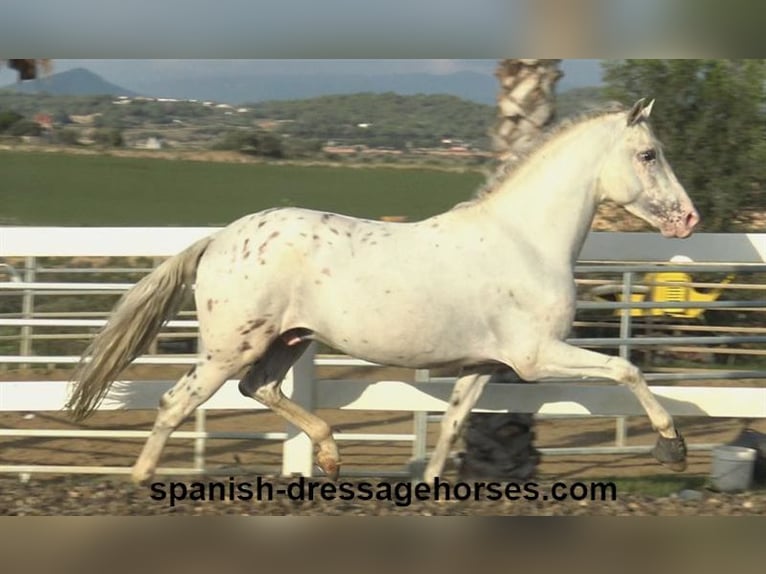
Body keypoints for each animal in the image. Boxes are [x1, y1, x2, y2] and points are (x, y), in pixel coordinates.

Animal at [67, 99, 704, 486]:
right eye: (649, 154)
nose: (689, 219)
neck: (525, 241)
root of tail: (219, 238)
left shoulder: (484, 364)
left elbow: (452, 423)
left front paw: (429, 485)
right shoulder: (535, 357)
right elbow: (627, 370)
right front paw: (672, 448)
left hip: (289, 341)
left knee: (260, 389)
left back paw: (328, 454)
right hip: (230, 347)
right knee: (176, 402)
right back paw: (141, 480)